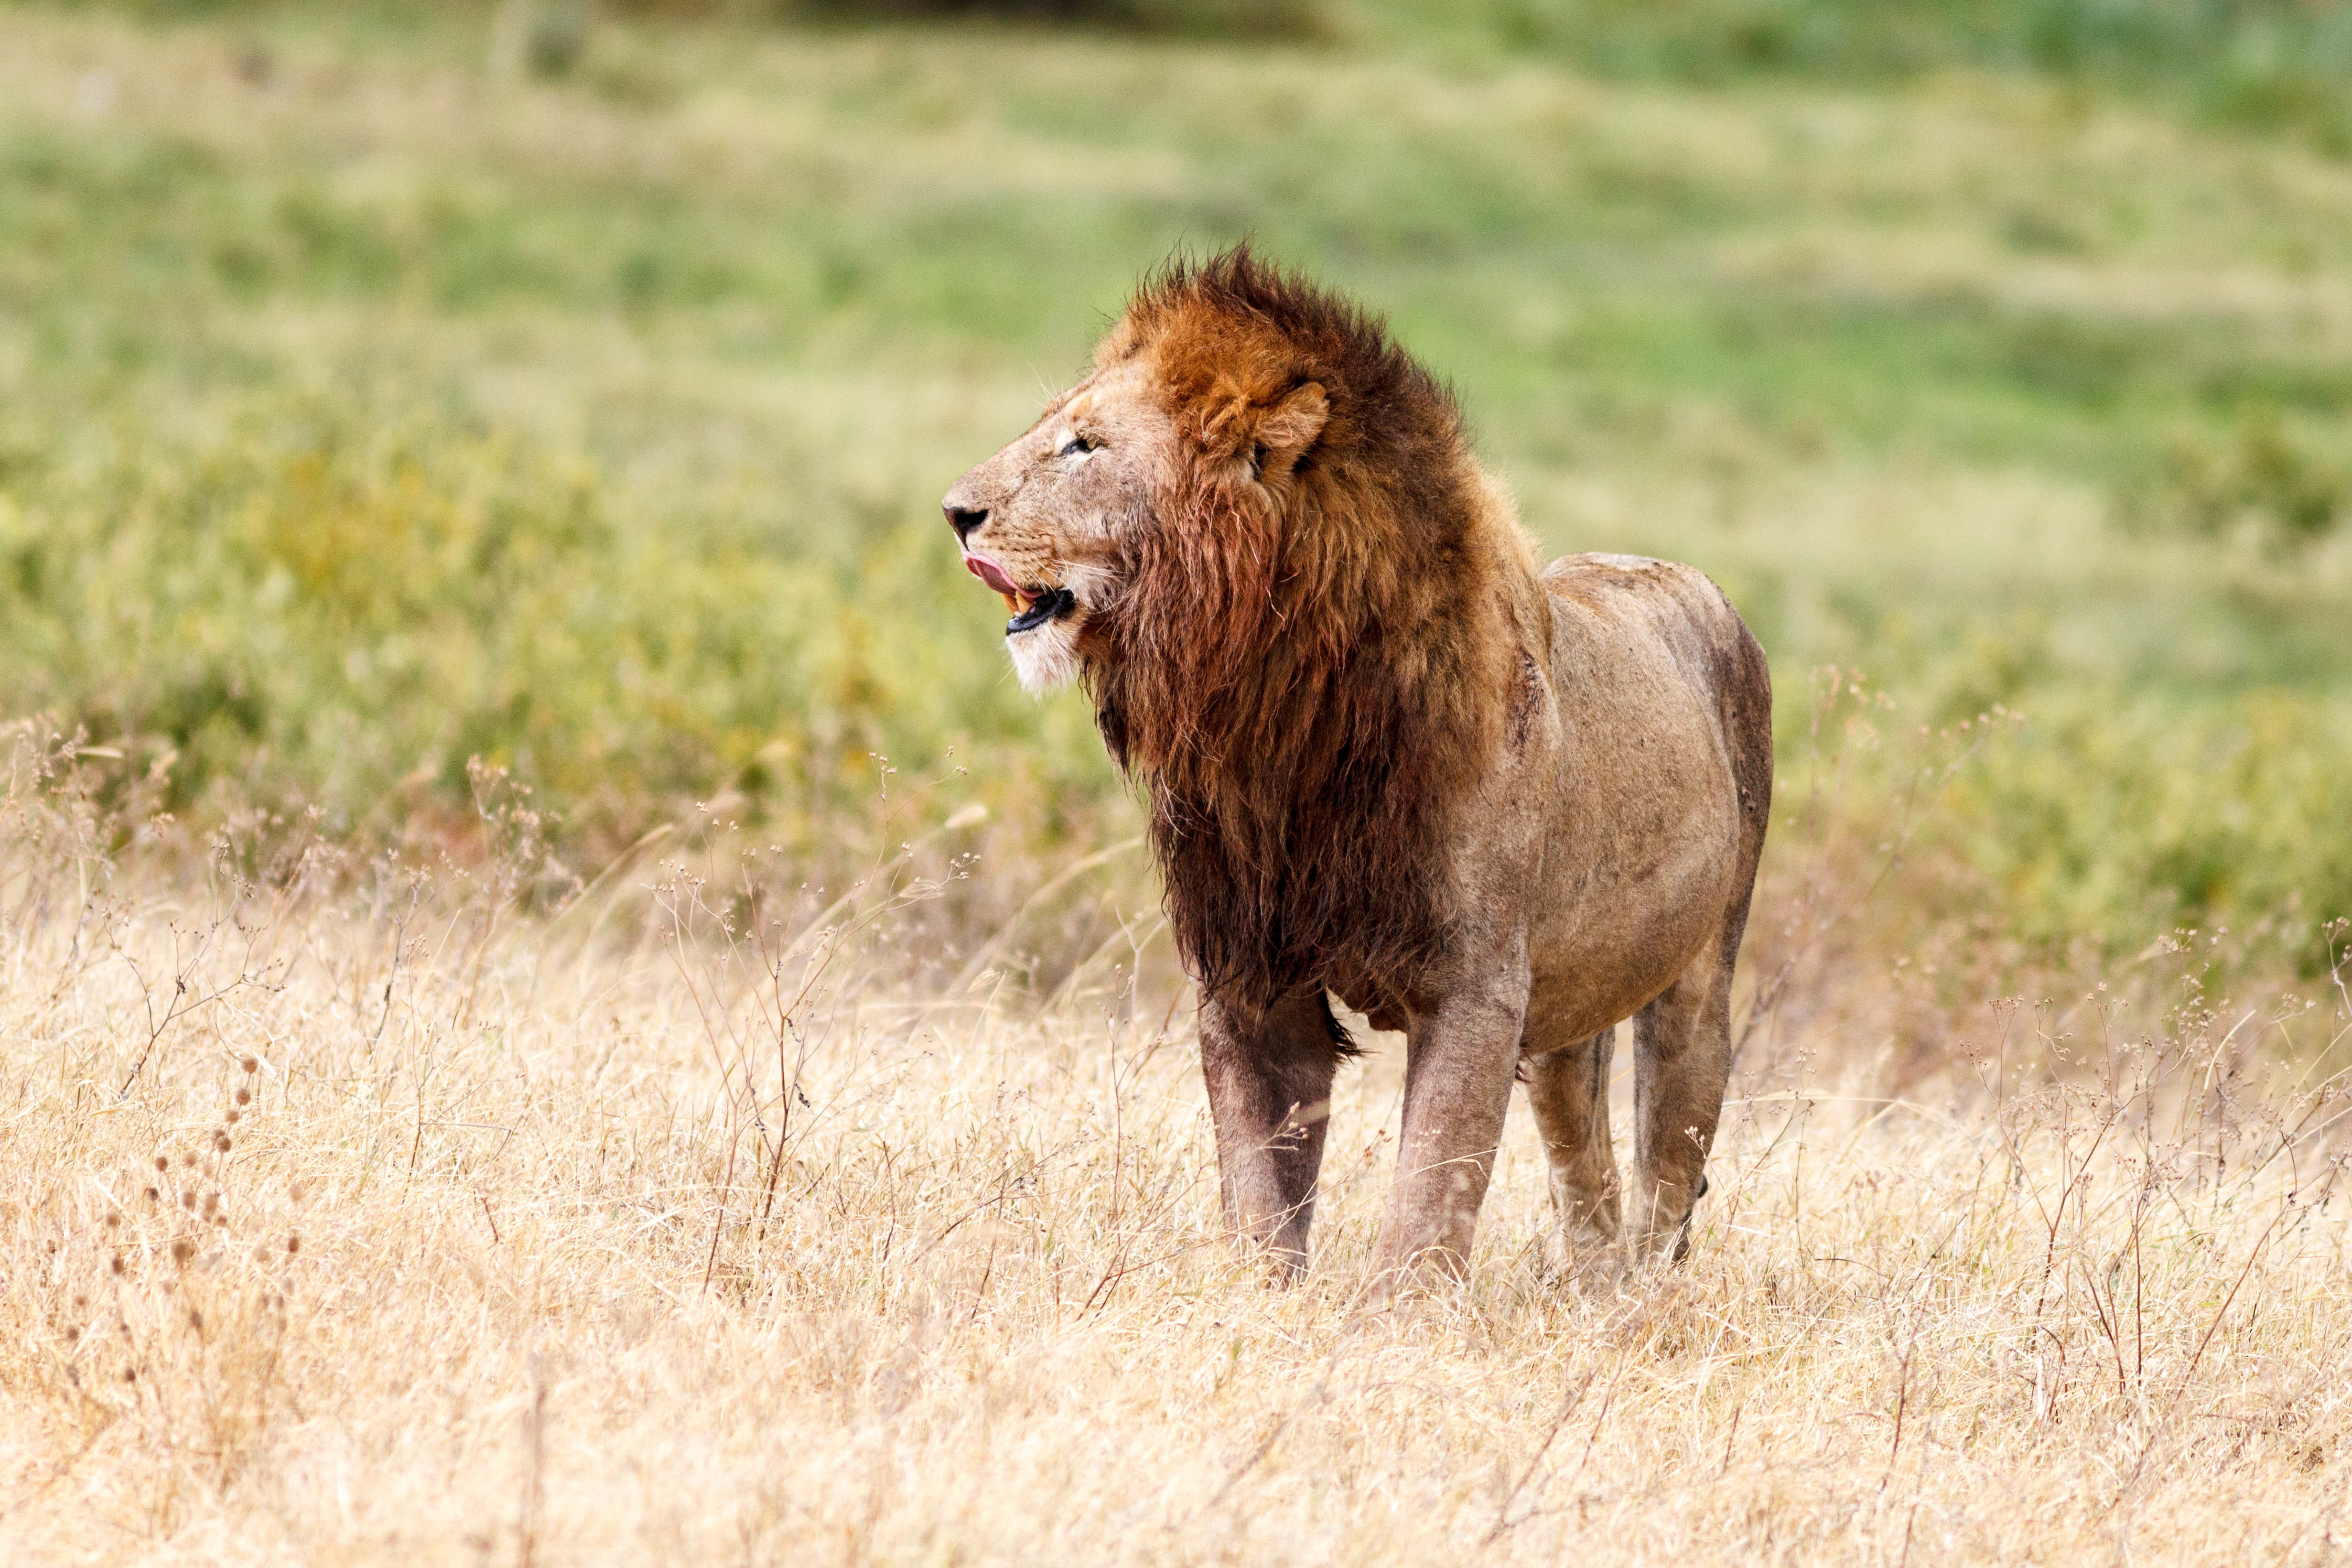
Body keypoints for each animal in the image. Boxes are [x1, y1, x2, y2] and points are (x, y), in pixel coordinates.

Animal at [936, 248, 1769, 1298]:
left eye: (1083, 445)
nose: (955, 512)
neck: (1274, 711)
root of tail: (1680, 573)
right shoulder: (1250, 977)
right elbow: (1262, 1183)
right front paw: (1258, 1310)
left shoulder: (1475, 986)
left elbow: (1430, 1192)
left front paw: (1397, 1322)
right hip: (1572, 1015)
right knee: (1584, 1158)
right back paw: (1592, 1293)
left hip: (1700, 976)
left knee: (1671, 1153)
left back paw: (1642, 1302)